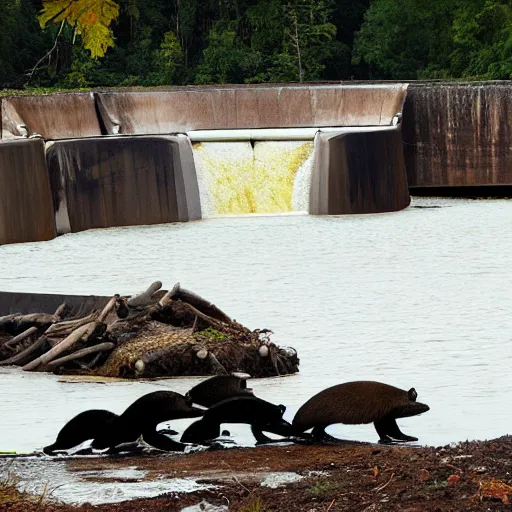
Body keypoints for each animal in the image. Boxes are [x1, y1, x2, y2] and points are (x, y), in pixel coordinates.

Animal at [292, 380, 428, 444]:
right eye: (414, 403)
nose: (427, 406)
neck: (394, 399)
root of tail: (294, 423)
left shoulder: (387, 417)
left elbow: (393, 432)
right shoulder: (381, 416)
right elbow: (385, 431)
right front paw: (387, 440)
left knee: (316, 431)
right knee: (316, 431)